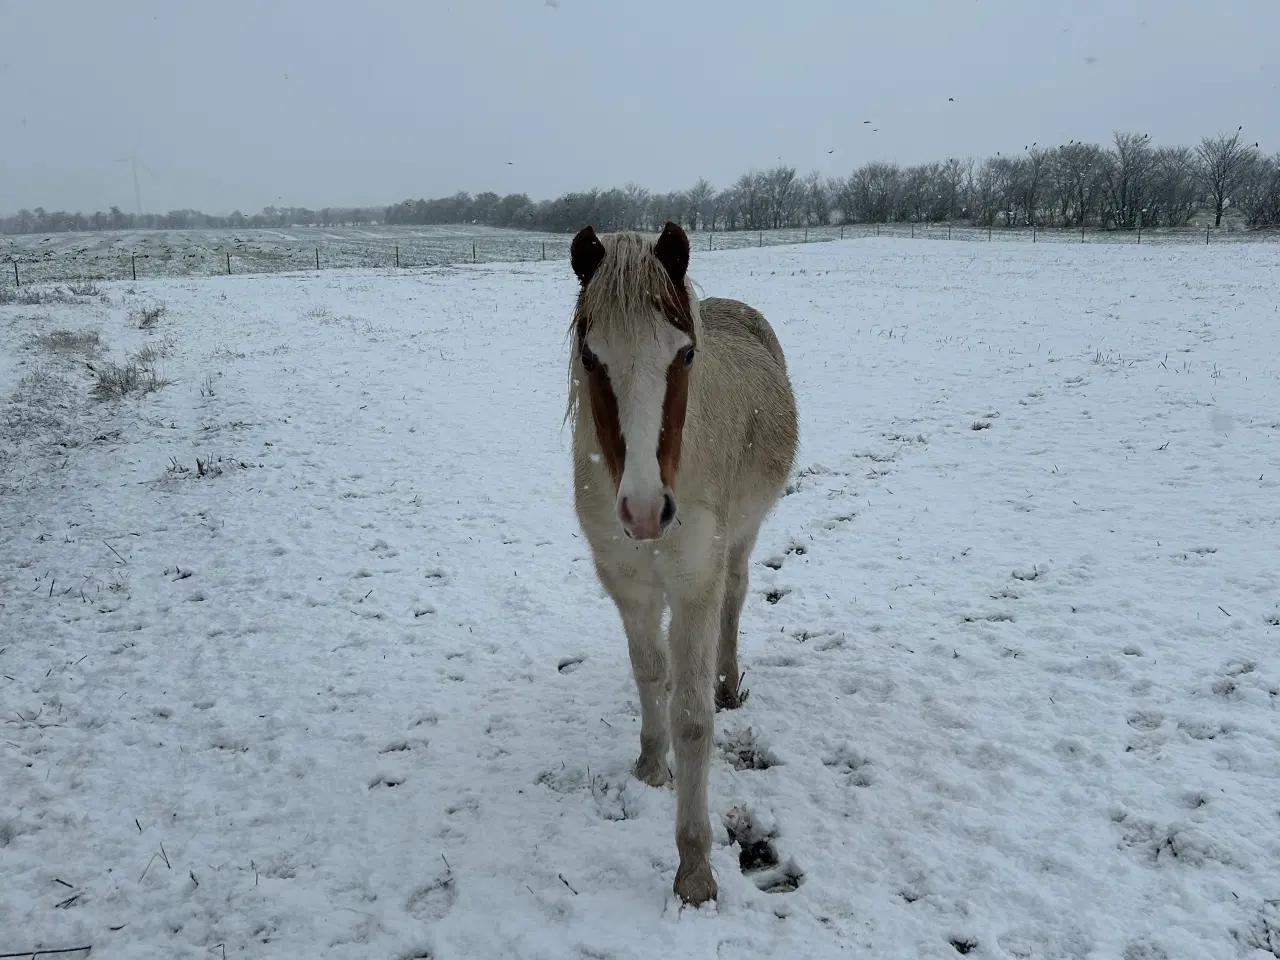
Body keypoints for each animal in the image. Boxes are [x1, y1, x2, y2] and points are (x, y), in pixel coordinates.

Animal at [565, 221, 793, 906]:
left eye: (685, 355)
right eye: (591, 358)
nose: (644, 510)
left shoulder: (695, 585)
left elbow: (692, 718)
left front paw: (694, 872)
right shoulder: (629, 587)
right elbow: (650, 674)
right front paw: (648, 767)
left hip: (741, 538)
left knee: (736, 599)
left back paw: (728, 681)